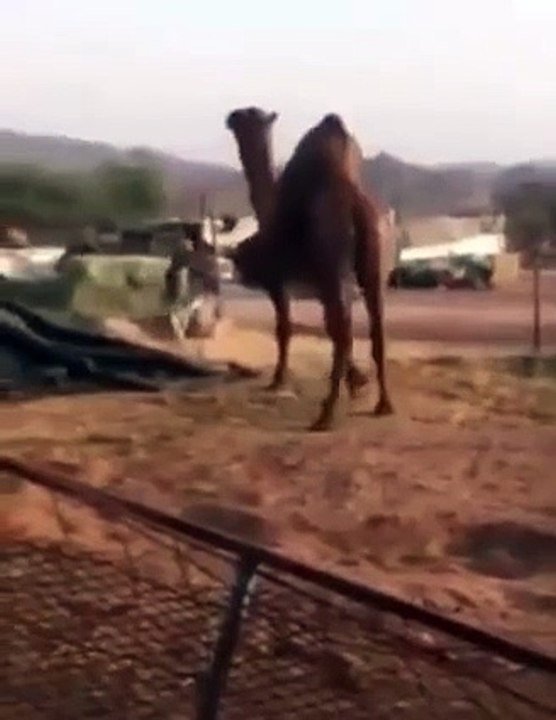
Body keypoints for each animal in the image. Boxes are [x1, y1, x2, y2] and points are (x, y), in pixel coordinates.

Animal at [226, 107, 393, 430]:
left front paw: (277, 380)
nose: (230, 116)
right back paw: (384, 404)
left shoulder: (279, 281)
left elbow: (285, 327)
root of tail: (354, 201)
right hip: (374, 265)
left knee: (343, 331)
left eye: (245, 117)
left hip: (332, 263)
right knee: (376, 328)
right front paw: (357, 382)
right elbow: (332, 327)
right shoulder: (322, 284)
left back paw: (325, 414)